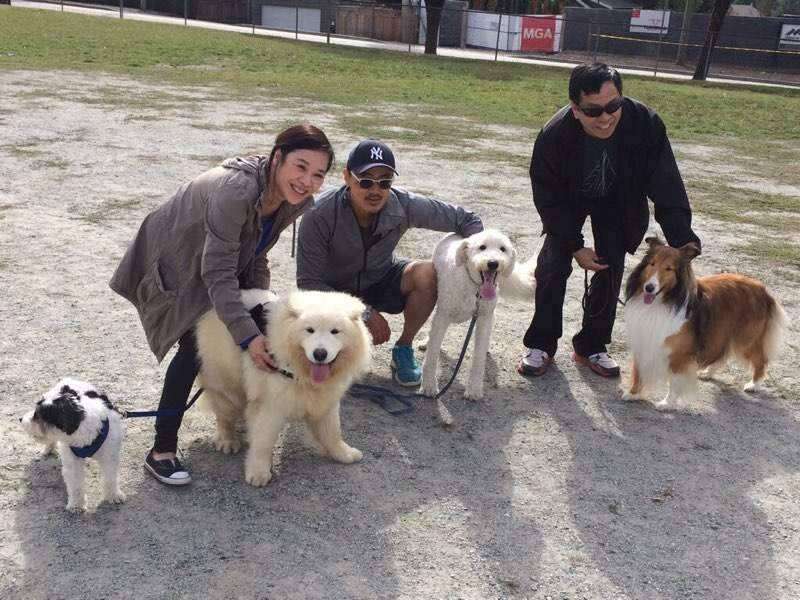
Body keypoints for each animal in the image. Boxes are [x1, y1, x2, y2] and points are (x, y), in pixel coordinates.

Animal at [19, 380, 125, 510]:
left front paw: (113, 496)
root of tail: (67, 380)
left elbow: (110, 478)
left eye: (37, 415)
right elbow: (75, 484)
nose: (21, 419)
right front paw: (76, 505)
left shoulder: (109, 457)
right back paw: (47, 449)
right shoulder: (72, 460)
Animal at [194, 288, 372, 486]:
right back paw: (228, 441)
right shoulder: (271, 405)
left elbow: (333, 432)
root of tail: (210, 311)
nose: (320, 353)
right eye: (309, 330)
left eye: (335, 332)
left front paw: (344, 454)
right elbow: (262, 442)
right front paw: (258, 473)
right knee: (224, 415)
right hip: (227, 384)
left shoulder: (325, 401)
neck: (301, 372)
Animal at [418, 230, 536, 404]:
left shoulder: (483, 319)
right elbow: (432, 355)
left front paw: (474, 389)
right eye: (482, 247)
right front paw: (428, 386)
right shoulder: (442, 316)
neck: (474, 286)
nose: (493, 263)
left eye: (503, 249)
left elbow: (478, 358)